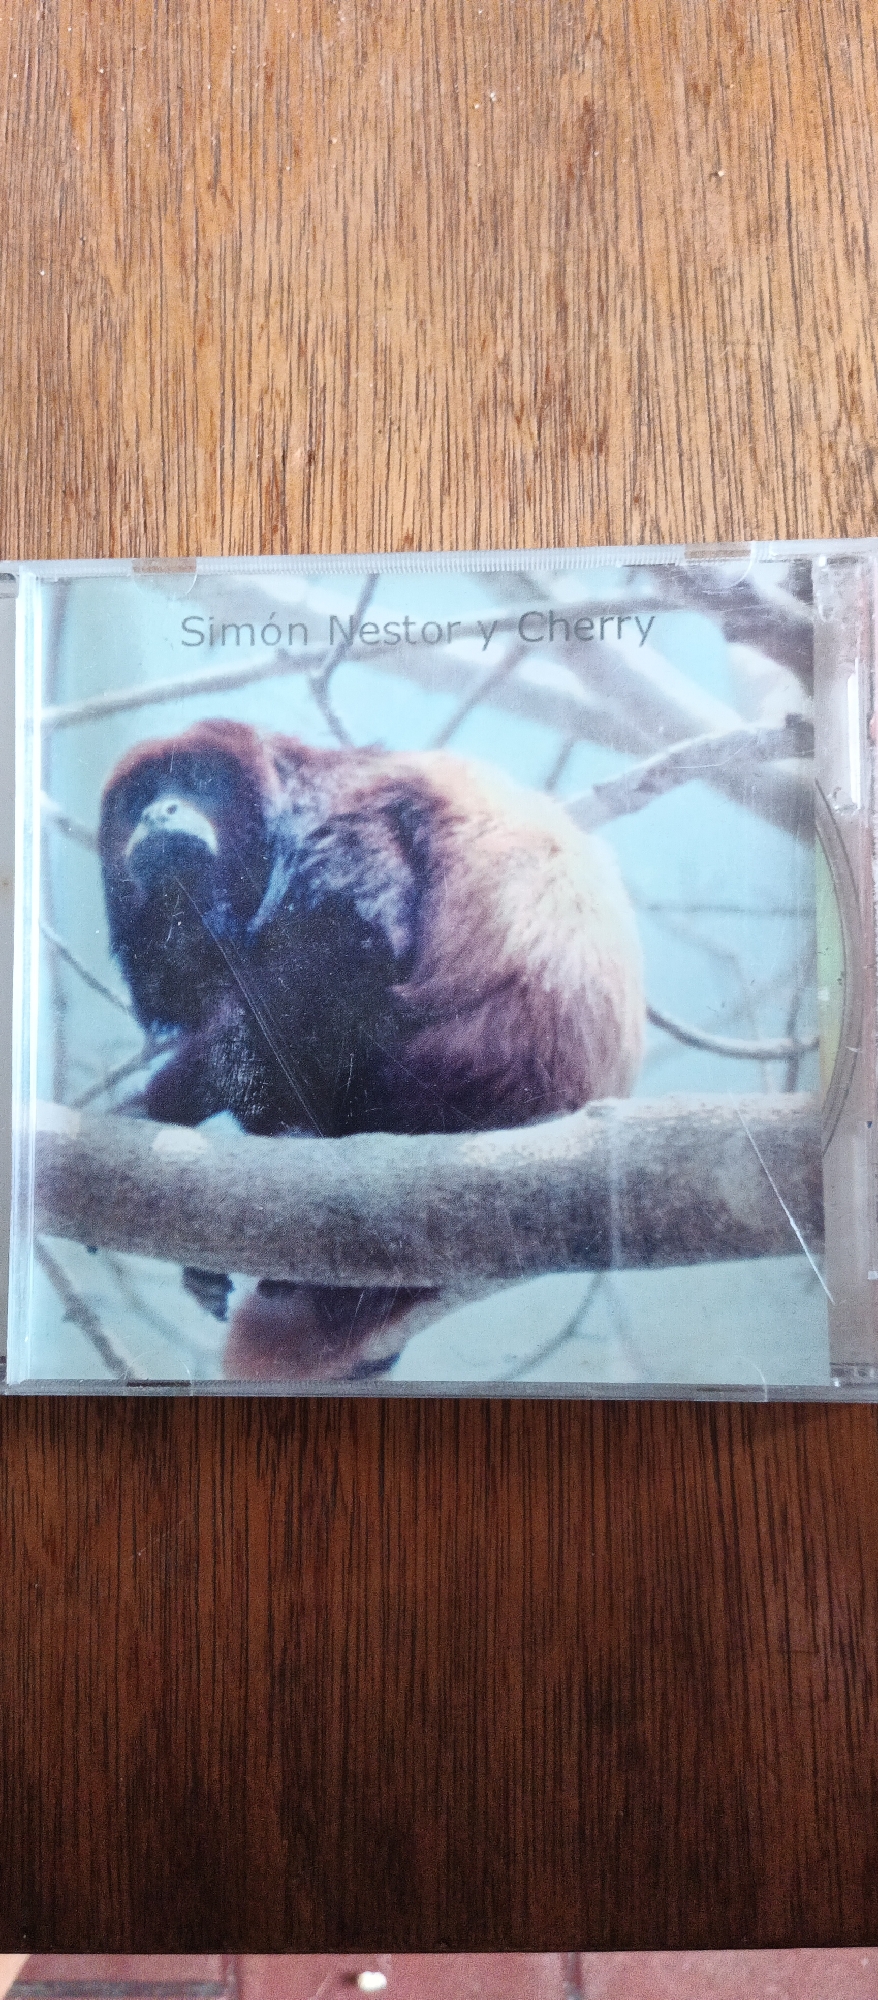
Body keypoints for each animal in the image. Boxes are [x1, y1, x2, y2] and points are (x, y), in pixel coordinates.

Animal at [99, 718, 644, 1378]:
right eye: (139, 799)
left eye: (198, 782)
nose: (161, 812)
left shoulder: (347, 811)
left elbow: (343, 951)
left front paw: (157, 1106)